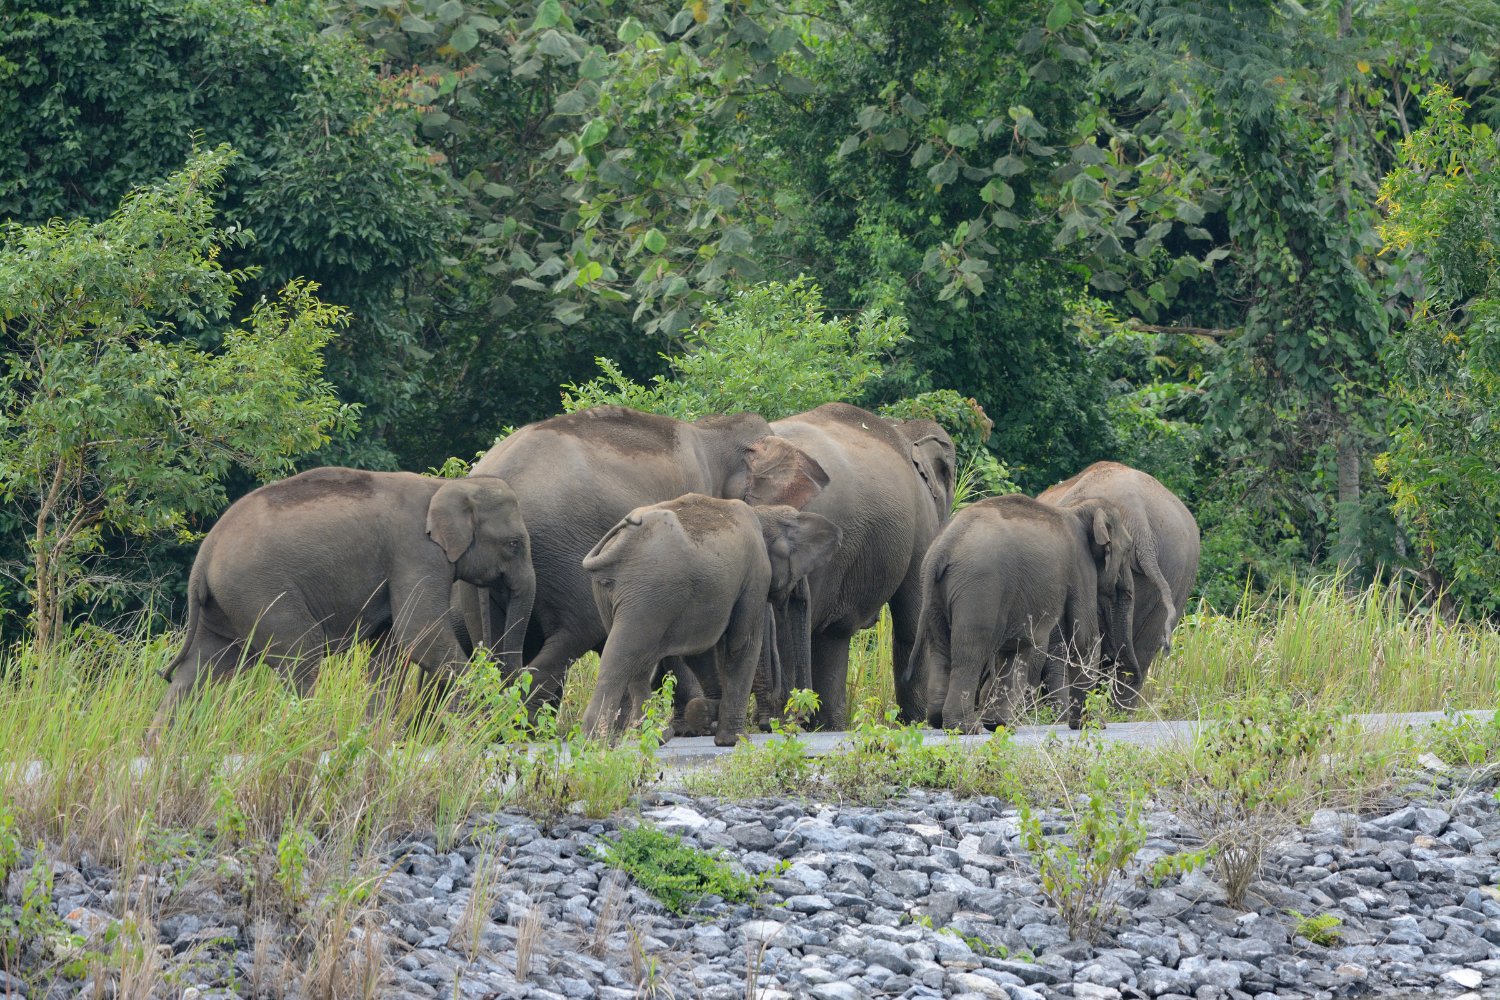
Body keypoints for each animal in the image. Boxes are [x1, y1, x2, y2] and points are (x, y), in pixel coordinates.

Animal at [159, 468, 534, 713]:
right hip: (259, 592)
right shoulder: (415, 553)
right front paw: (479, 713)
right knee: (302, 654)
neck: (447, 487)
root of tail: (204, 557)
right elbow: (419, 634)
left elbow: (389, 650)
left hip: (225, 603)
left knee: (197, 670)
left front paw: (374, 731)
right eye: (514, 544)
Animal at [578, 494, 841, 746]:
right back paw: (597, 743)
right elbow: (741, 644)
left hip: (611, 593)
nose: (799, 723)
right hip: (648, 592)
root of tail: (620, 543)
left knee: (637, 664)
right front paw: (734, 740)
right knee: (625, 658)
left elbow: (699, 654)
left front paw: (704, 713)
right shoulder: (756, 573)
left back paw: (653, 737)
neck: (762, 512)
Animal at [766, 404, 956, 727]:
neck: (903, 428)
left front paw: (828, 727)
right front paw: (918, 723)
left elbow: (833, 635)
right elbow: (913, 621)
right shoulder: (921, 518)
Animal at [904, 494, 1137, 732]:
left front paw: (1000, 724)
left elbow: (1017, 646)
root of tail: (944, 548)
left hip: (934, 593)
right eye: (1129, 548)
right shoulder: (1080, 566)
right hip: (980, 589)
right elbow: (1085, 640)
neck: (1079, 509)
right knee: (971, 650)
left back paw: (940, 721)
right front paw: (1093, 725)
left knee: (941, 649)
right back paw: (966, 727)